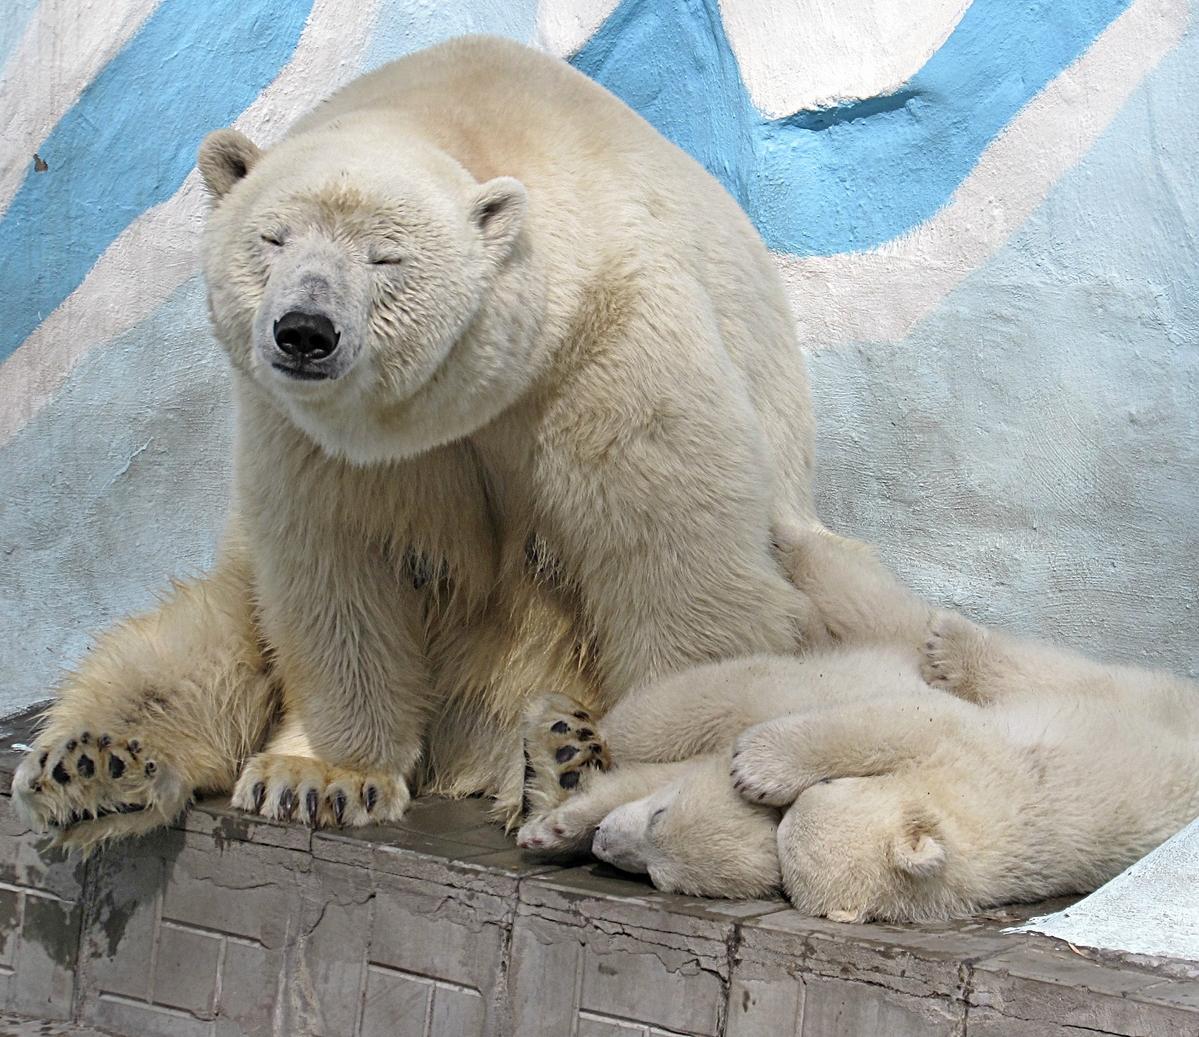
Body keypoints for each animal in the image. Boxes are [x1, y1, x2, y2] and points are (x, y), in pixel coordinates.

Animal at [14, 36, 820, 843]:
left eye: (384, 256)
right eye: (272, 238)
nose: (304, 331)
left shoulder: (611, 340)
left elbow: (672, 551)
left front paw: (663, 765)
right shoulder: (322, 436)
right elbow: (336, 563)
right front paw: (323, 776)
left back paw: (558, 759)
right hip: (240, 589)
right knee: (187, 649)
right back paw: (92, 761)